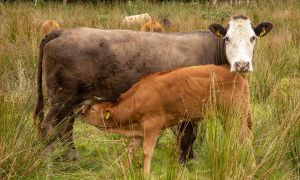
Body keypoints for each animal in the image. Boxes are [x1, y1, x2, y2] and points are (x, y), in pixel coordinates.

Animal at [33, 14, 272, 162]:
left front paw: (190, 159)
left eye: (253, 38)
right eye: (227, 38)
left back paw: (72, 157)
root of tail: (62, 31)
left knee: (65, 127)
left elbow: (192, 134)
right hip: (61, 98)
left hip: (71, 101)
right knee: (48, 127)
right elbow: (187, 135)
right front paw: (183, 162)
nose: (242, 65)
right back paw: (46, 162)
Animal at [80, 64, 253, 174]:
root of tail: (237, 74)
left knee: (246, 140)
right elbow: (130, 150)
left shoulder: (152, 125)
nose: (80, 113)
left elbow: (147, 152)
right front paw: (121, 169)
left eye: (93, 108)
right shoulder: (139, 131)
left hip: (237, 114)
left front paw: (145, 174)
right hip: (228, 117)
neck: (136, 98)